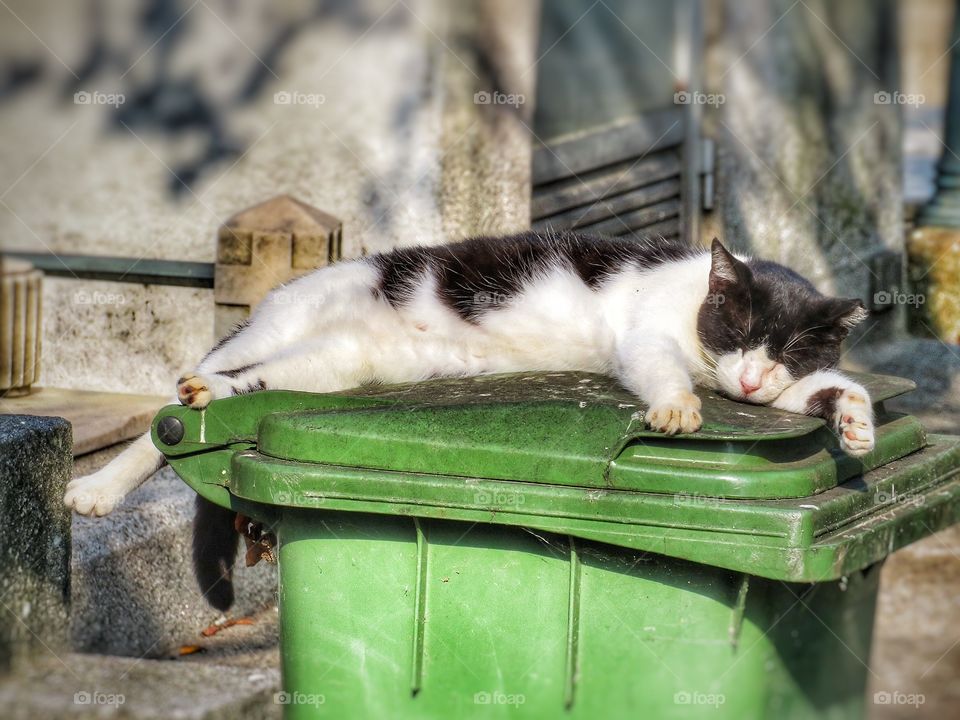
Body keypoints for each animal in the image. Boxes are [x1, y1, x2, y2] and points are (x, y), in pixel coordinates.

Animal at [63, 233, 876, 612]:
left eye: (786, 352)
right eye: (738, 330)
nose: (747, 376)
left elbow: (826, 389)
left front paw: (855, 421)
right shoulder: (647, 341)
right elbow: (661, 370)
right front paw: (677, 408)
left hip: (333, 363)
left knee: (247, 386)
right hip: (279, 327)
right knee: (169, 416)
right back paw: (104, 482)